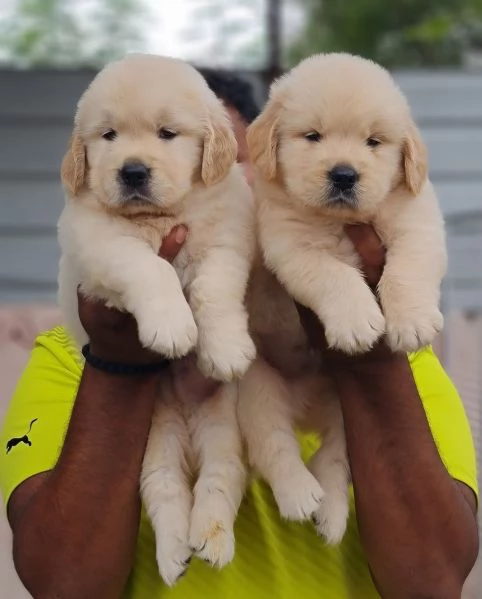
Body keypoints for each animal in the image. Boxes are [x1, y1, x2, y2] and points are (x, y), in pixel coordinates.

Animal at [58, 54, 254, 588]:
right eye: (108, 136)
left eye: (168, 133)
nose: (132, 171)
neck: (161, 215)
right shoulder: (100, 239)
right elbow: (151, 268)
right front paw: (171, 328)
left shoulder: (225, 239)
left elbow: (212, 289)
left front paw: (224, 347)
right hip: (152, 439)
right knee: (163, 487)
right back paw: (174, 553)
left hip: (223, 424)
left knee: (221, 477)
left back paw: (211, 539)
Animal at [239, 52, 446, 544]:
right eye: (312, 136)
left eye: (374, 142)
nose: (344, 175)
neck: (338, 221)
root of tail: (307, 407)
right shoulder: (291, 245)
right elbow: (336, 276)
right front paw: (356, 323)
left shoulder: (416, 223)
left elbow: (406, 271)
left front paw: (411, 323)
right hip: (257, 388)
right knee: (276, 445)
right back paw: (300, 497)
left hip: (343, 410)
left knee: (333, 458)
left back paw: (331, 516)